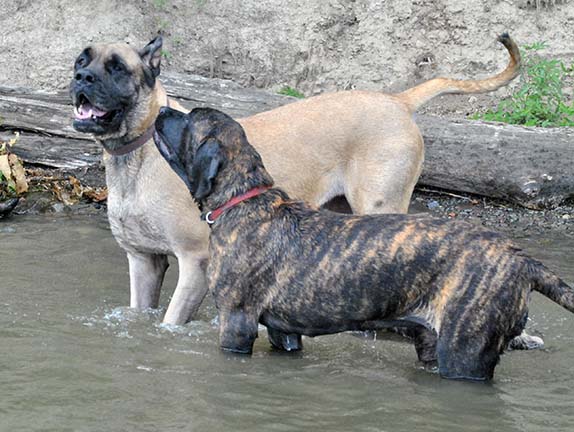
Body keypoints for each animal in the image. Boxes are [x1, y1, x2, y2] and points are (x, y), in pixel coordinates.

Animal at [70, 33, 524, 330]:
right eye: (81, 60)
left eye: (116, 68)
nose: (82, 79)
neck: (137, 152)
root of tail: (398, 101)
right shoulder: (143, 261)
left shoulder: (195, 261)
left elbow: (170, 321)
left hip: (381, 204)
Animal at [153, 105, 574, 382]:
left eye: (187, 120)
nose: (161, 110)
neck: (244, 201)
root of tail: (520, 258)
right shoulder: (283, 332)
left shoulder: (237, 322)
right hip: (434, 346)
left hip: (464, 353)